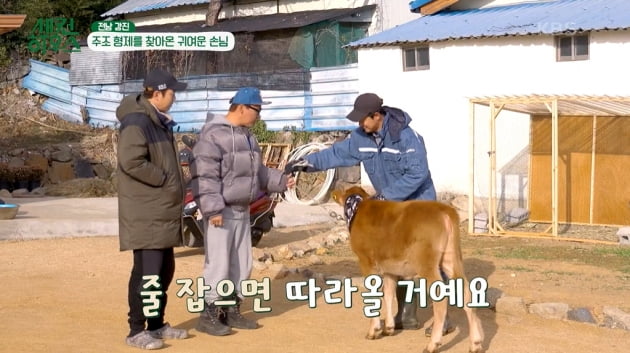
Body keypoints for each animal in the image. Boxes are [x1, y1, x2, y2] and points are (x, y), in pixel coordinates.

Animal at [334, 186, 486, 350]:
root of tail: (443, 210)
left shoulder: (366, 261)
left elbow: (372, 295)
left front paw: (373, 331)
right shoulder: (389, 267)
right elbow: (388, 293)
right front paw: (389, 328)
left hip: (427, 264)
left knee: (440, 297)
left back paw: (433, 344)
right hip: (450, 258)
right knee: (466, 293)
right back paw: (475, 343)